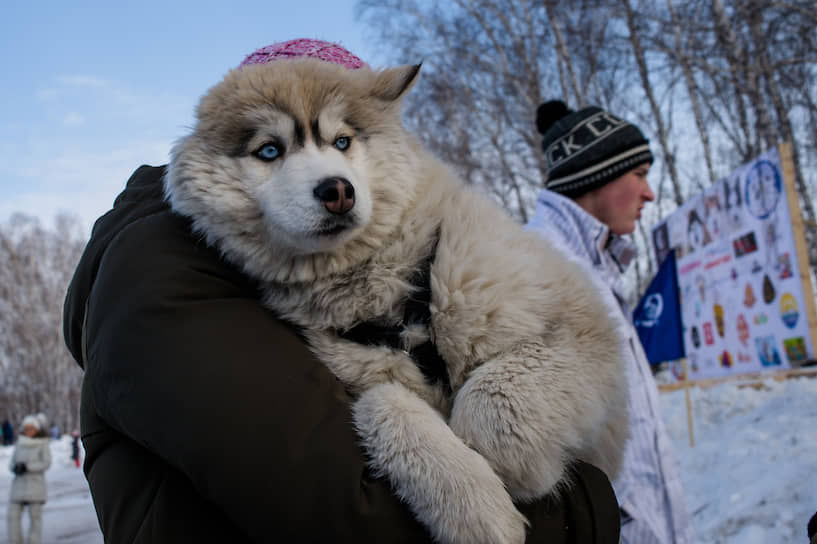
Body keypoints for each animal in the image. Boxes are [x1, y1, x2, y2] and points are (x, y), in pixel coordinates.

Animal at [164, 41, 624, 544]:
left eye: (342, 141)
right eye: (269, 150)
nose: (337, 190)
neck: (401, 299)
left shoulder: (581, 326)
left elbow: (491, 398)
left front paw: (519, 471)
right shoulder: (358, 370)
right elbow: (381, 404)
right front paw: (475, 506)